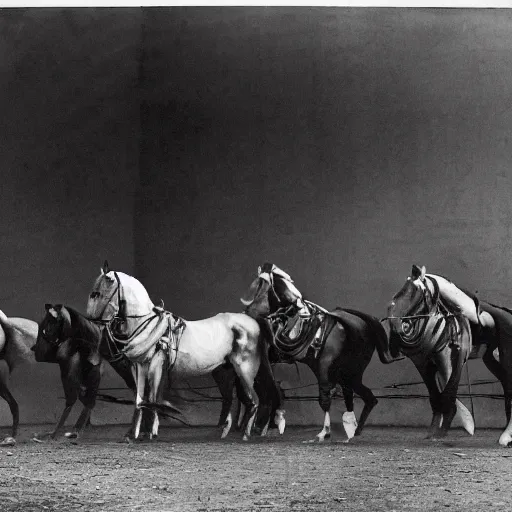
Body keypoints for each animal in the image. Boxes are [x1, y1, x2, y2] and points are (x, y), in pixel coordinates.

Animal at [86, 262, 278, 442]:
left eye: (98, 293)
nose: (90, 319)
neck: (149, 326)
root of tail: (252, 321)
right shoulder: (138, 367)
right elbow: (140, 400)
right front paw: (132, 434)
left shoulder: (156, 365)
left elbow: (152, 398)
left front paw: (149, 433)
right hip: (225, 373)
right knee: (233, 400)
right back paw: (224, 433)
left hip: (245, 369)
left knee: (254, 400)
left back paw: (245, 435)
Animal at [240, 262, 400, 442]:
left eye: (264, 286)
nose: (249, 311)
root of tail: (361, 323)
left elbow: (269, 389)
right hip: (349, 374)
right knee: (363, 397)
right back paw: (353, 430)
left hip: (336, 370)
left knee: (332, 397)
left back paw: (328, 431)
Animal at [384, 264, 472, 440]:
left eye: (416, 291)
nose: (395, 324)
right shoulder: (422, 361)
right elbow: (435, 395)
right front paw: (433, 430)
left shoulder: (450, 360)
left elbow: (448, 392)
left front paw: (441, 431)